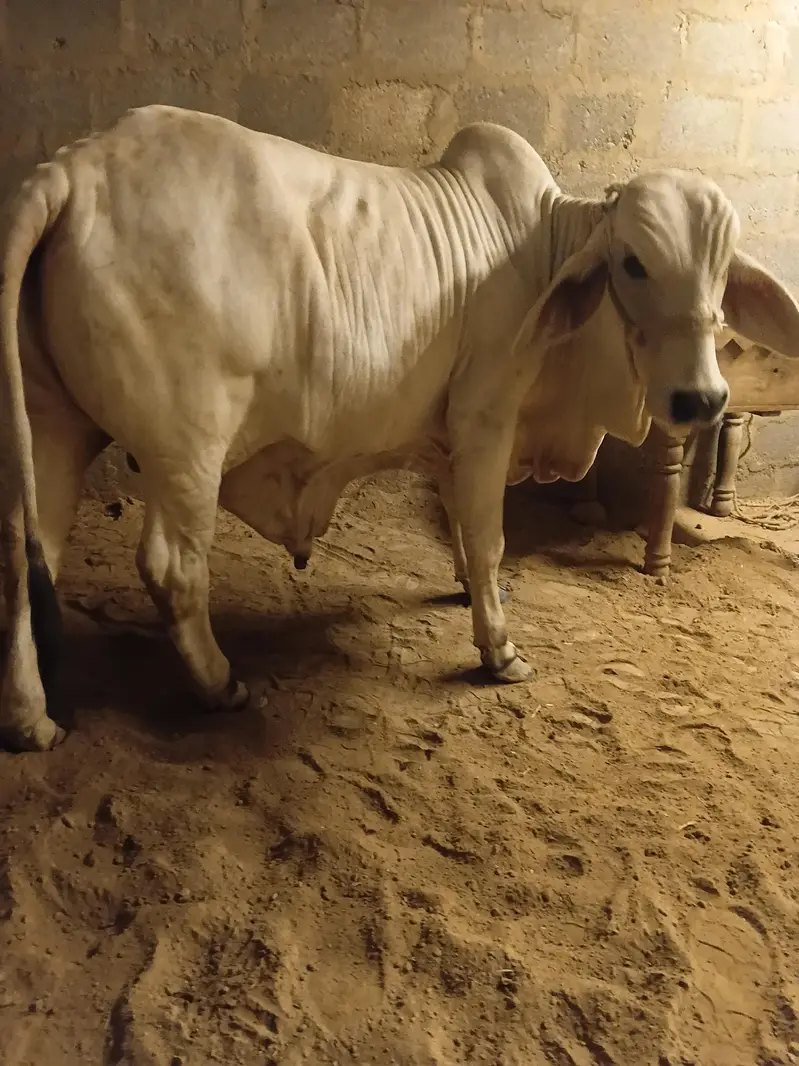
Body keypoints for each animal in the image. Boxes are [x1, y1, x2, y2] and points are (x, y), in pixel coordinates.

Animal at [2, 105, 799, 752]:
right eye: (632, 263)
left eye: (721, 272)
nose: (700, 399)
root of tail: (77, 165)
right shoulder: (485, 417)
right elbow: (488, 538)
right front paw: (499, 651)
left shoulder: (452, 438)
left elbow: (463, 534)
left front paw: (468, 594)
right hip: (187, 448)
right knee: (172, 568)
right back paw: (218, 682)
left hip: (52, 427)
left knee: (25, 554)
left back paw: (32, 721)